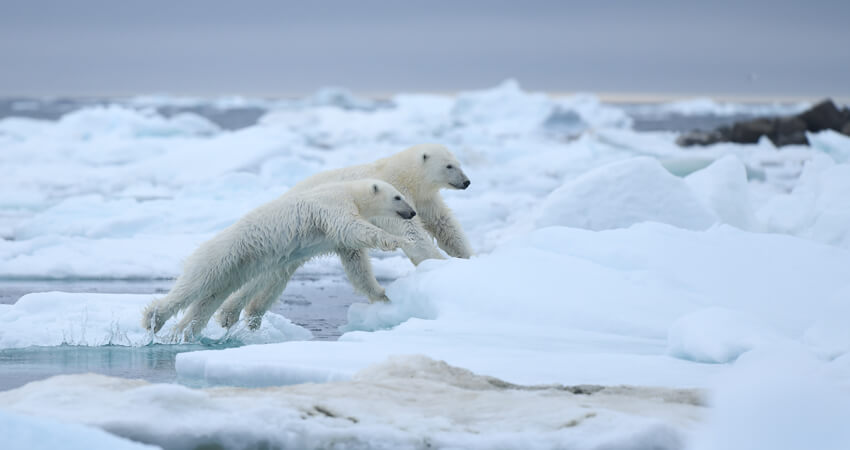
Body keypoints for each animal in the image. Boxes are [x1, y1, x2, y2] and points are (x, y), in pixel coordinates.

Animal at [141, 179, 417, 339]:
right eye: (398, 197)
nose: (412, 212)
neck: (349, 191)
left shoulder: (337, 237)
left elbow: (356, 262)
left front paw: (382, 295)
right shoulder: (333, 206)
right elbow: (353, 228)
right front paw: (399, 240)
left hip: (236, 270)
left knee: (209, 299)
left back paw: (183, 333)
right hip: (222, 256)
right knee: (193, 286)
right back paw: (153, 319)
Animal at [214, 143, 473, 329]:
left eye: (459, 163)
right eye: (449, 166)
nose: (467, 181)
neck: (401, 173)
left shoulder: (424, 200)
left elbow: (445, 226)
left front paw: (467, 258)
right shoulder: (391, 197)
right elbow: (411, 232)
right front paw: (440, 264)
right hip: (287, 236)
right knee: (265, 274)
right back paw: (228, 314)